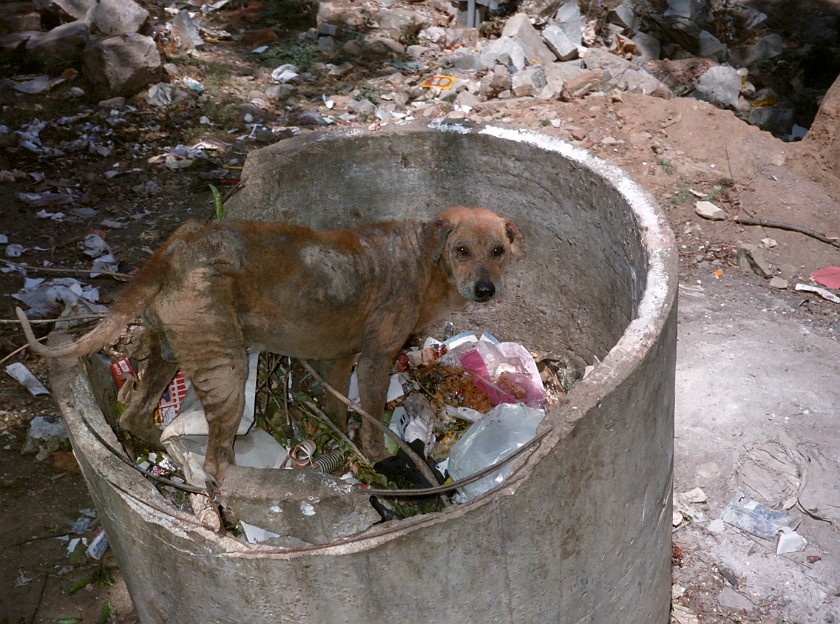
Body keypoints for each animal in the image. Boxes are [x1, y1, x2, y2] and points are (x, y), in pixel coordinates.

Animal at [16, 207, 520, 486]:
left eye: (498, 251)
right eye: (462, 250)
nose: (486, 291)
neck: (423, 256)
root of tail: (175, 248)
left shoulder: (339, 358)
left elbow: (337, 408)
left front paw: (340, 442)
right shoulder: (376, 361)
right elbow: (373, 419)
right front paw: (378, 456)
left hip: (168, 356)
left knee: (134, 416)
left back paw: (169, 451)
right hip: (228, 371)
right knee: (217, 460)